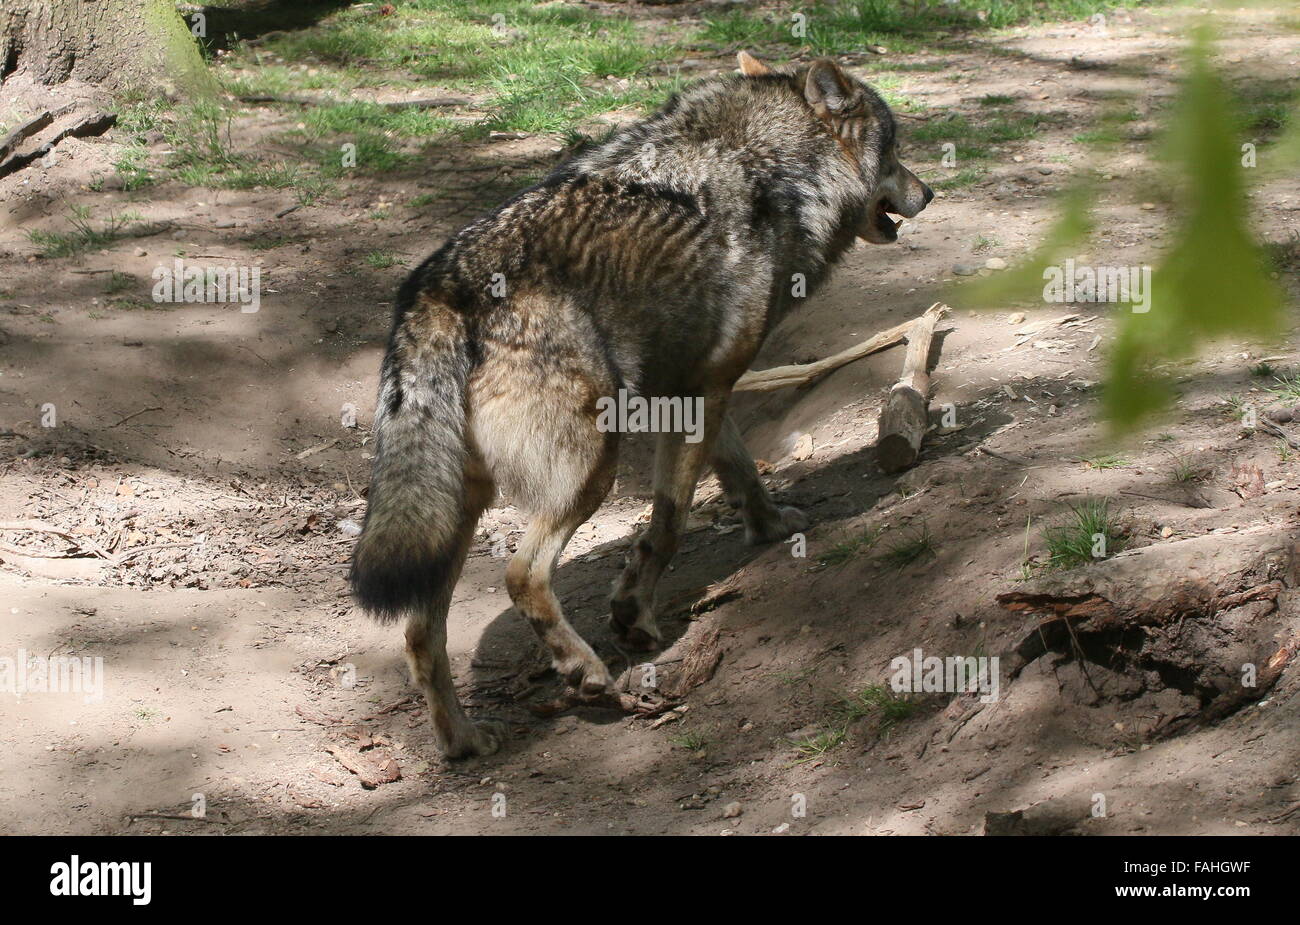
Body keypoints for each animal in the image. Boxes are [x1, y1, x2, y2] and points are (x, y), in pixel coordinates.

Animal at [348, 52, 935, 758]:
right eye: (895, 149)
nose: (929, 193)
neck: (778, 173)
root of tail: (440, 290)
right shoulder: (701, 393)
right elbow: (668, 524)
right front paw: (633, 617)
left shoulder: (702, 385)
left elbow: (742, 472)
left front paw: (771, 526)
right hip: (590, 469)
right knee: (521, 575)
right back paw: (585, 669)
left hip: (458, 510)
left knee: (418, 634)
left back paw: (464, 739)